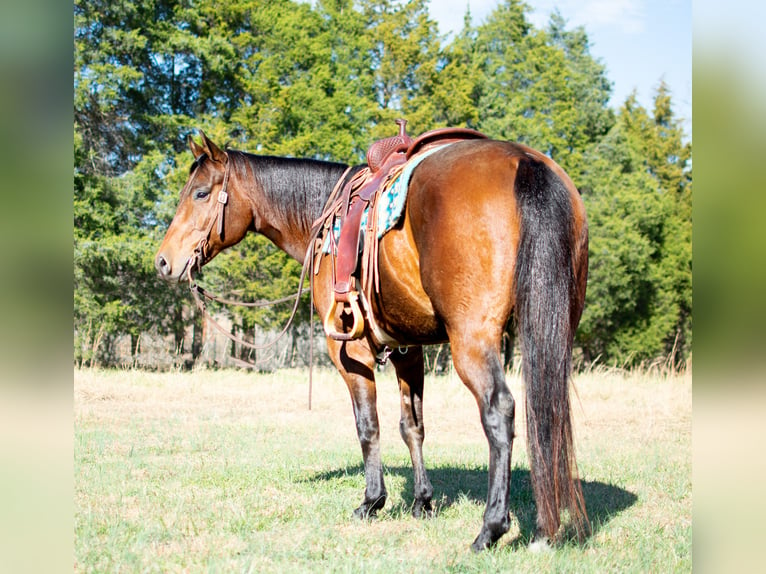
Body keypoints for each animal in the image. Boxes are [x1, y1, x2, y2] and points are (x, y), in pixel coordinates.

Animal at [154, 130, 588, 552]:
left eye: (200, 193)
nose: (163, 261)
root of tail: (524, 162)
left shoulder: (350, 353)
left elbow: (368, 426)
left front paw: (372, 500)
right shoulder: (408, 350)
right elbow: (412, 426)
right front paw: (422, 501)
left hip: (472, 341)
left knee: (500, 411)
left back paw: (491, 529)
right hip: (553, 331)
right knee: (548, 412)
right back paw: (548, 527)